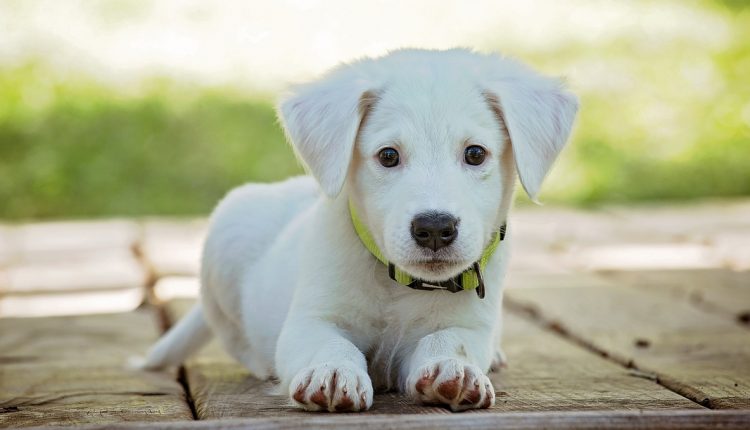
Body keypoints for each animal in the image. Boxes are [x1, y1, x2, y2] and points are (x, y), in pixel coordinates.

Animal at [141, 48, 580, 412]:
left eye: (475, 154)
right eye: (388, 156)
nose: (434, 228)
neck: (397, 284)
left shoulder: (470, 325)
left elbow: (450, 340)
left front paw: (451, 368)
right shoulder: (311, 320)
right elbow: (329, 343)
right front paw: (332, 372)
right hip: (227, 236)